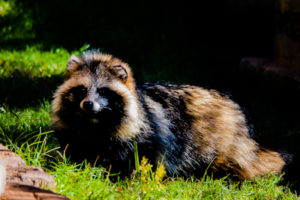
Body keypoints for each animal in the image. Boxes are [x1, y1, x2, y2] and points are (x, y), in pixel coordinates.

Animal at [51, 50, 284, 179]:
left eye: (102, 91)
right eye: (81, 90)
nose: (88, 104)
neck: (94, 123)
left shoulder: (150, 134)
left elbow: (147, 158)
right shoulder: (73, 131)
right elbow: (75, 150)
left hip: (223, 140)